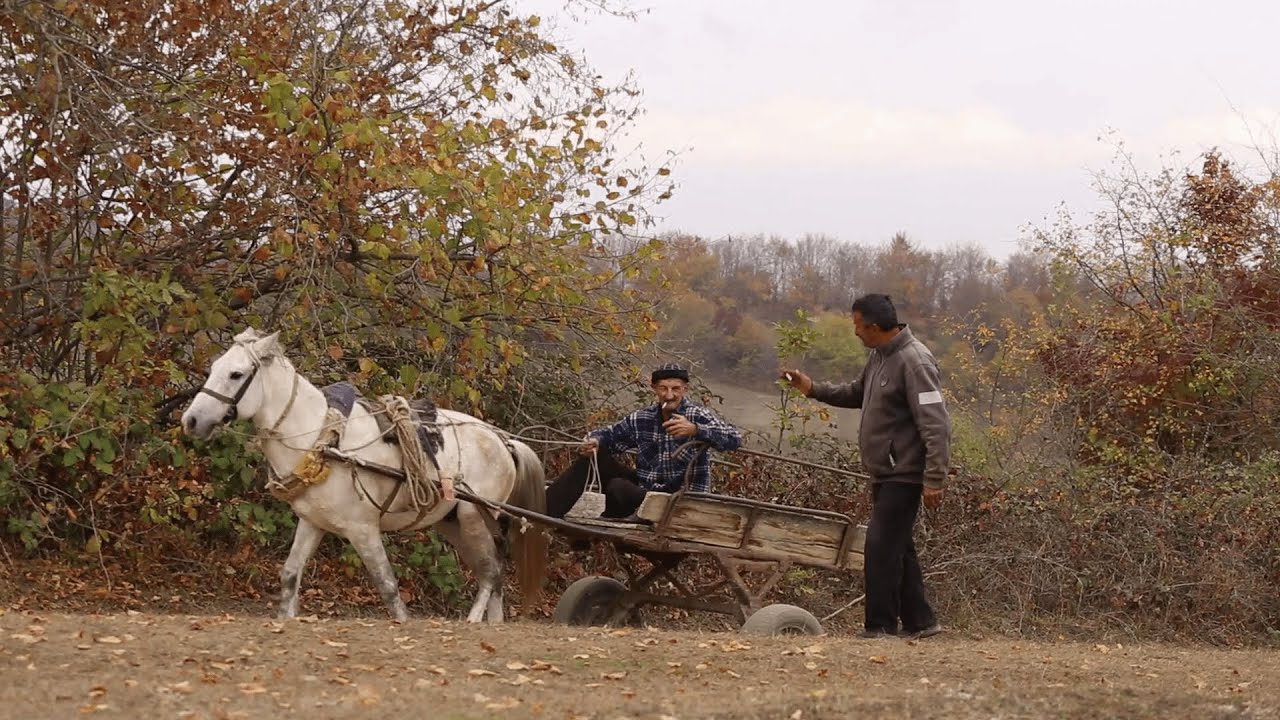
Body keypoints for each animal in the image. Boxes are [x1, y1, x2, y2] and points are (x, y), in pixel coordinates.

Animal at [177, 327, 547, 620]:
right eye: (215, 368)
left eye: (236, 374)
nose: (191, 420)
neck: (323, 437)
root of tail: (503, 440)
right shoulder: (312, 522)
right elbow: (290, 575)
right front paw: (285, 619)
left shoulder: (363, 529)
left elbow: (388, 587)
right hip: (453, 521)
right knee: (494, 574)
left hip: (473, 516)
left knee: (490, 574)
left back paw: (472, 622)